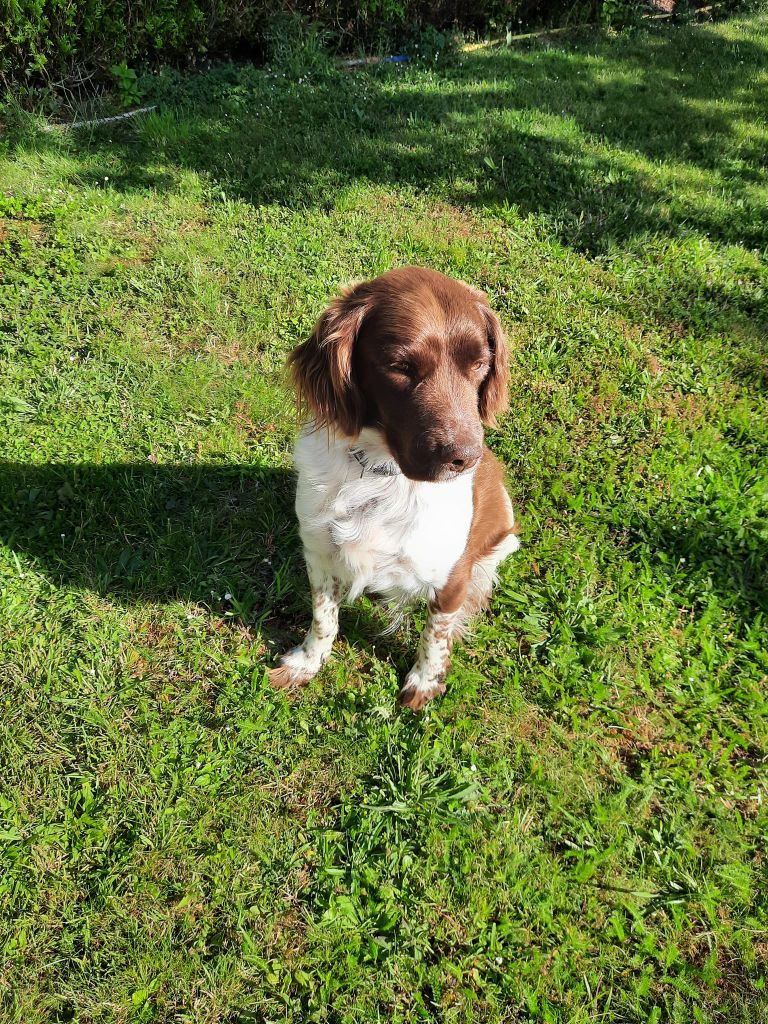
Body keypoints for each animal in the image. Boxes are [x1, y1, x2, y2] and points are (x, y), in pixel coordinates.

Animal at [268, 268, 520, 708]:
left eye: (479, 364)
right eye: (400, 365)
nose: (465, 457)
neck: (383, 476)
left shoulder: (451, 579)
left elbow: (435, 635)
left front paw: (423, 684)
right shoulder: (318, 553)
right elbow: (323, 617)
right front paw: (307, 663)